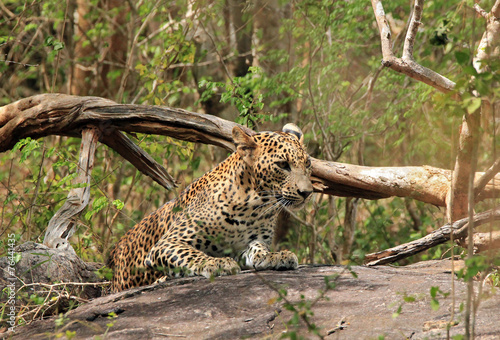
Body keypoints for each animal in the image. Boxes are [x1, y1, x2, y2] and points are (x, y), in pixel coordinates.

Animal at [108, 123, 312, 290]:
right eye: (283, 164)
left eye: (308, 163)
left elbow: (257, 248)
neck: (254, 205)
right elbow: (189, 254)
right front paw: (216, 263)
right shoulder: (167, 243)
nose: (307, 192)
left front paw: (274, 256)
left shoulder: (244, 245)